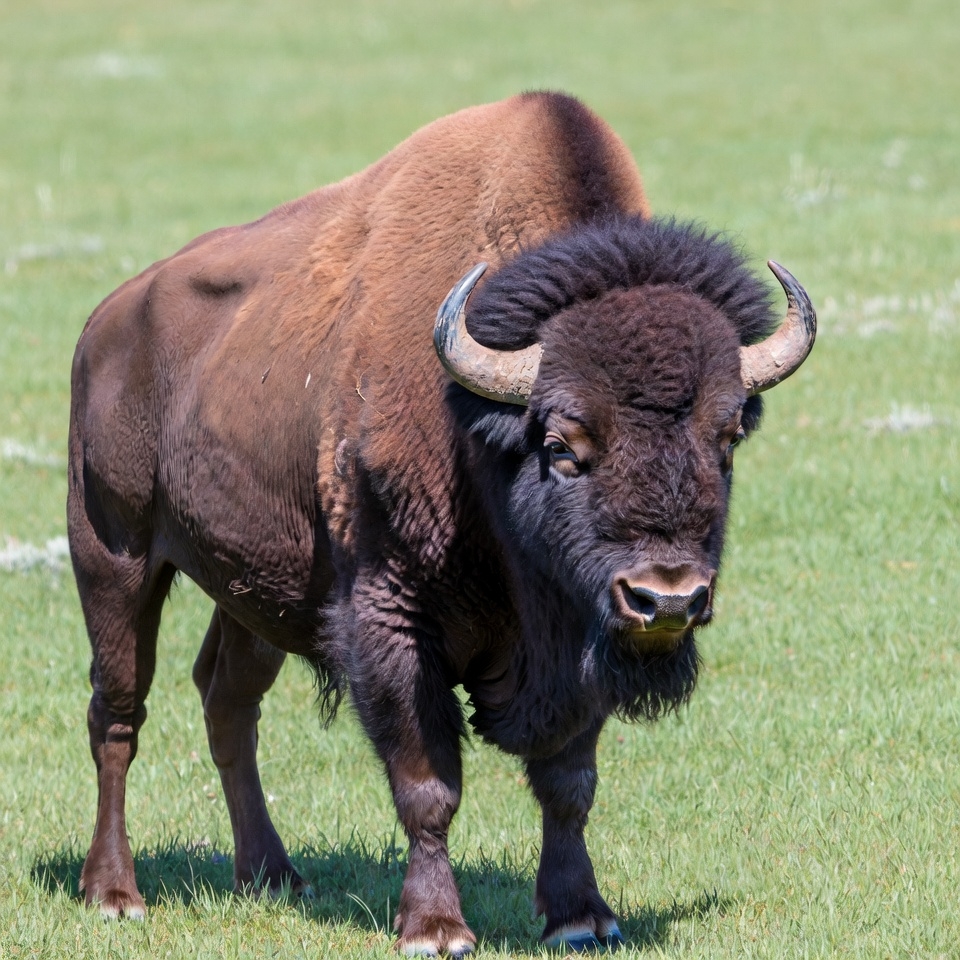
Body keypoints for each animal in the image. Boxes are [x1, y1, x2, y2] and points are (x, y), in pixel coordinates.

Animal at [68, 91, 814, 955]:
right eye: (562, 445)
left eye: (726, 437)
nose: (666, 598)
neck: (477, 436)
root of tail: (106, 322)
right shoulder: (392, 621)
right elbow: (428, 784)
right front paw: (435, 927)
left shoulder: (580, 635)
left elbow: (569, 781)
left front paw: (581, 916)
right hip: (113, 557)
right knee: (118, 712)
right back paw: (114, 893)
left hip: (252, 592)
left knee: (228, 702)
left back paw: (273, 874)